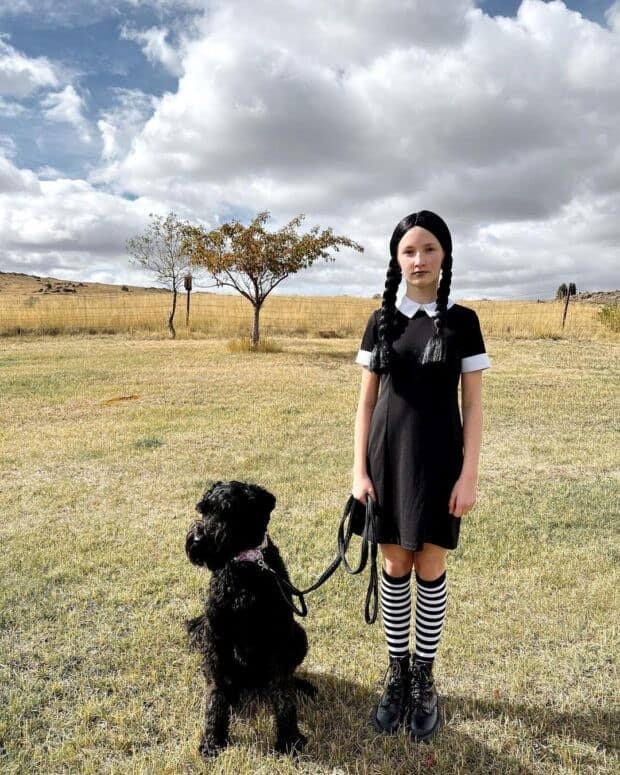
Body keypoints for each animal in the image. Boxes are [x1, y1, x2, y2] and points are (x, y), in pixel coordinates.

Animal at [185, 478, 318, 756]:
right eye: (204, 510)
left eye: (228, 511)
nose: (198, 539)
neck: (245, 568)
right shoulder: (216, 637)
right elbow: (216, 693)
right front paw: (213, 738)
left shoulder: (279, 637)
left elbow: (282, 693)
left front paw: (289, 738)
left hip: (298, 635)